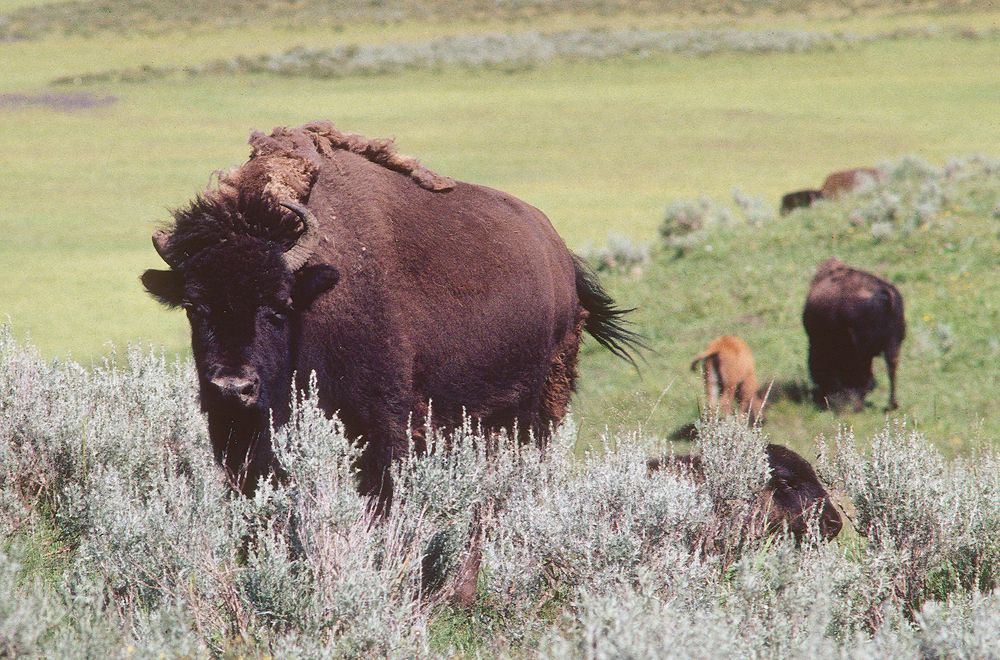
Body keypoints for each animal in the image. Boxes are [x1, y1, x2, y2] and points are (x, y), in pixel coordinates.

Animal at [141, 121, 640, 508]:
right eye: (194, 307)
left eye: (279, 306)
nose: (233, 388)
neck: (315, 292)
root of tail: (560, 254)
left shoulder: (382, 425)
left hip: (541, 404)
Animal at [804, 258, 908, 412]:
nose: (821, 395)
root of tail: (885, 296)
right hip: (893, 344)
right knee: (891, 368)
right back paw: (891, 405)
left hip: (865, 349)